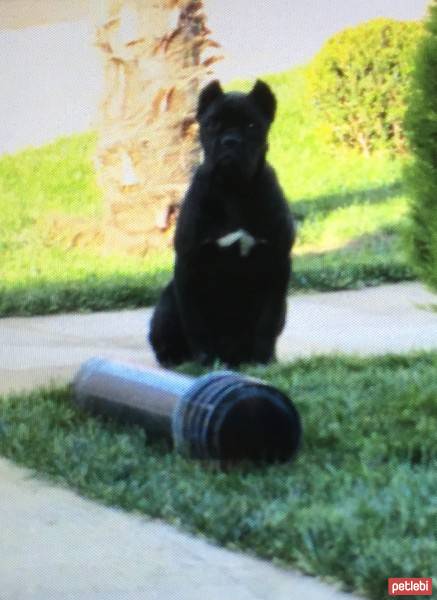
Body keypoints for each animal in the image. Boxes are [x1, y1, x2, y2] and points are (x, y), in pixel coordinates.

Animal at [148, 77, 294, 368]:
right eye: (212, 123)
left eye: (252, 125)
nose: (230, 141)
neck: (232, 188)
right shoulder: (190, 265)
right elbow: (197, 323)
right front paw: (206, 360)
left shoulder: (277, 264)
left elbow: (268, 320)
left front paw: (264, 360)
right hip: (167, 303)